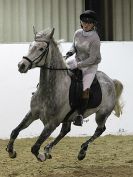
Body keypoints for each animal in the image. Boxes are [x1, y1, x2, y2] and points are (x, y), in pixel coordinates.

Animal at [5, 27, 122, 162]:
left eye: (41, 49)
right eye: (30, 45)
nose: (22, 65)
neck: (51, 89)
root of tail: (111, 81)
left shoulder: (52, 124)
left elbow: (35, 147)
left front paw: (41, 156)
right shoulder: (32, 114)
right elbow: (15, 131)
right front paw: (11, 151)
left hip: (101, 114)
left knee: (100, 130)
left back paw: (82, 151)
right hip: (69, 117)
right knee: (65, 130)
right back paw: (48, 149)